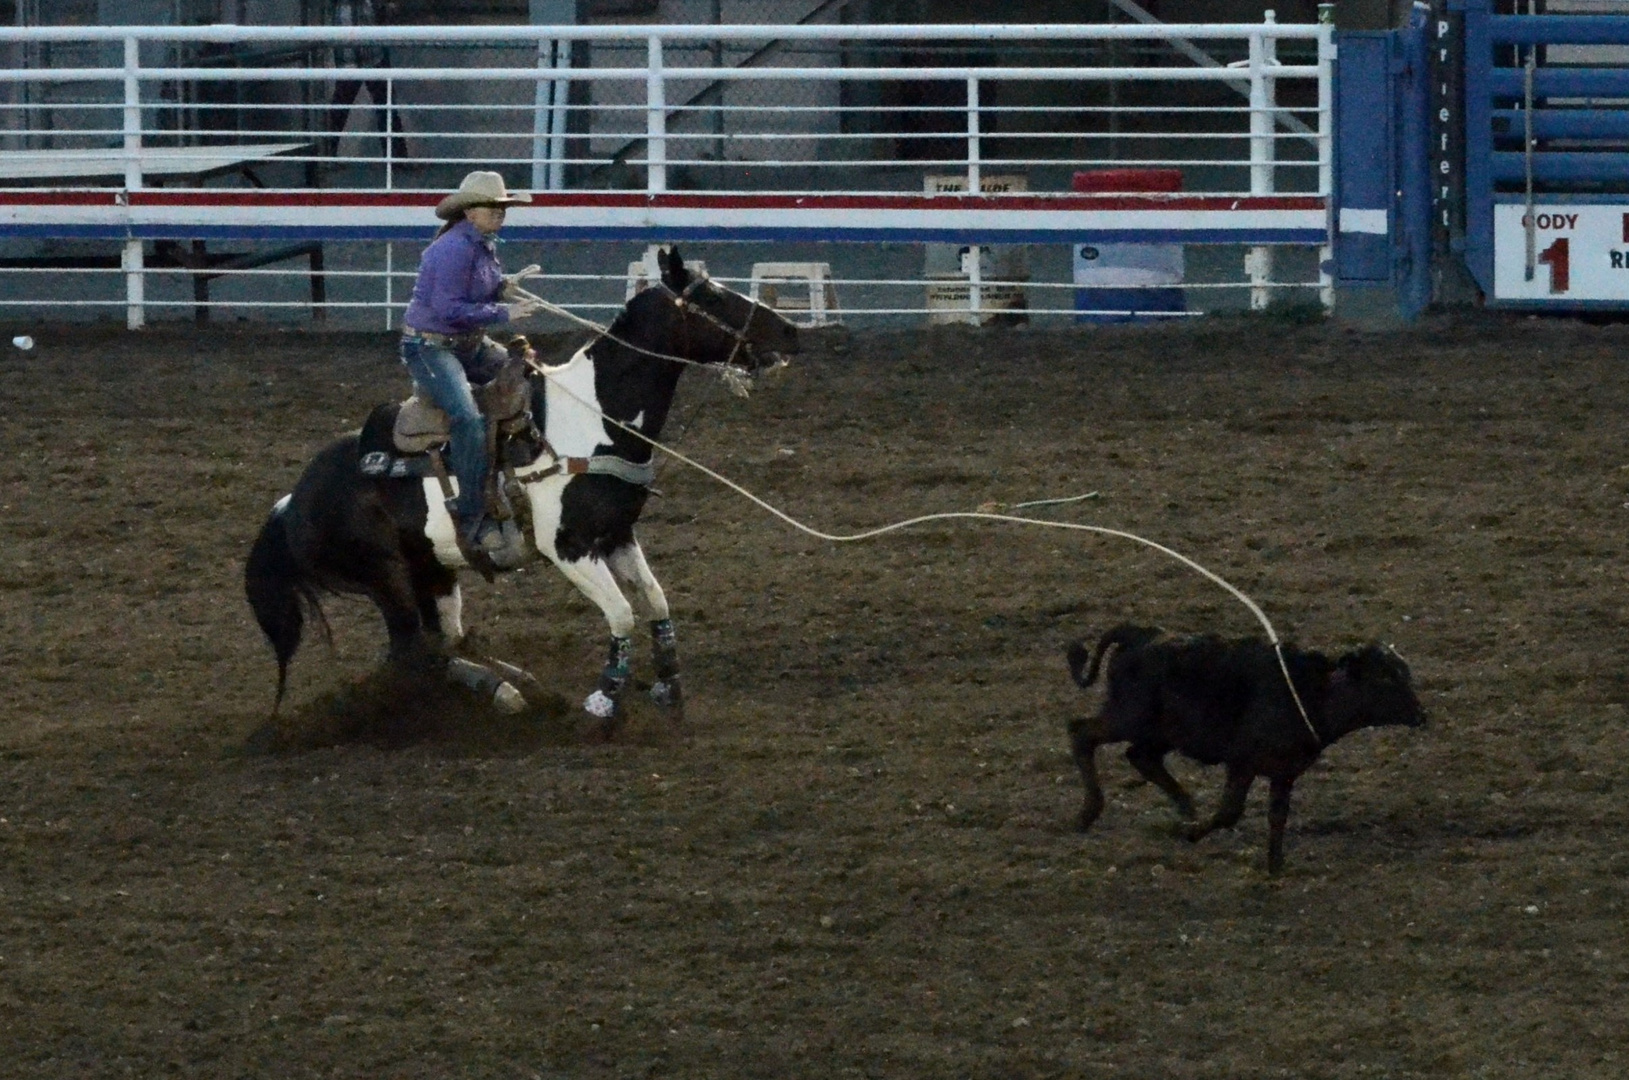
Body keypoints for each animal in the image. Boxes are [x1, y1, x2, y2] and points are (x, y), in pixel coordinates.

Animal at [244, 247, 798, 726]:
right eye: (715, 298)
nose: (791, 331)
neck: (591, 418)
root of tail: (293, 501)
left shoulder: (617, 535)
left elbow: (656, 603)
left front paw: (668, 686)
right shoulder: (567, 547)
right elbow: (621, 615)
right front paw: (604, 699)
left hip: (432, 570)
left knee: (443, 642)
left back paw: (514, 682)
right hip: (384, 577)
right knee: (413, 652)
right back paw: (504, 691)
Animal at [1062, 628, 1420, 873]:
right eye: (1385, 678)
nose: (1421, 714)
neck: (1308, 695)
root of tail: (1139, 635)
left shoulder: (1284, 772)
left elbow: (1277, 815)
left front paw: (1275, 867)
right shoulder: (1242, 763)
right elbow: (1229, 812)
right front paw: (1191, 834)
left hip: (1159, 733)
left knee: (1141, 757)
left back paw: (1185, 807)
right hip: (1128, 717)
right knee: (1082, 734)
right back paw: (1089, 812)